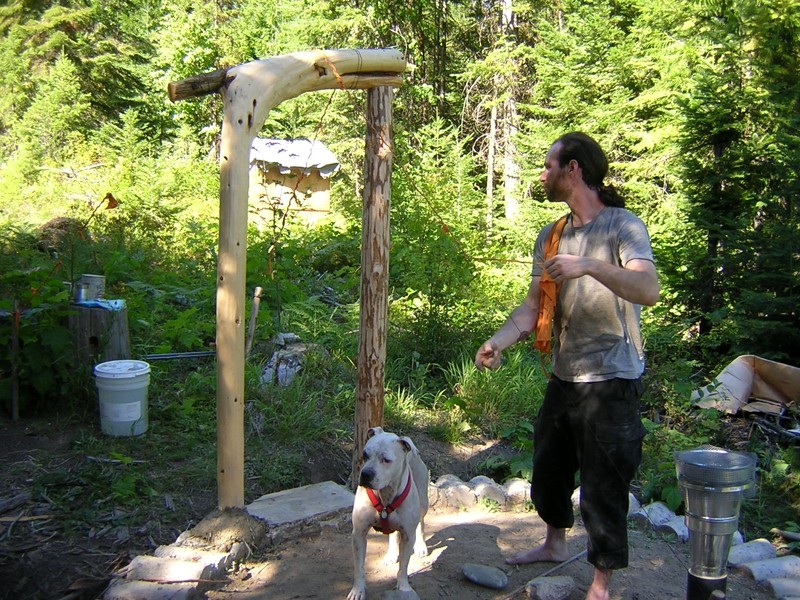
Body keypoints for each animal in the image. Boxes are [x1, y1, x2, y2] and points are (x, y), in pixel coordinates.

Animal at [348, 427, 429, 600]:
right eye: (365, 455)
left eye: (386, 460)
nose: (365, 474)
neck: (385, 495)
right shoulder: (359, 533)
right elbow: (359, 567)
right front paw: (358, 590)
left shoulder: (408, 535)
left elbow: (404, 566)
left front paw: (404, 588)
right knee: (393, 534)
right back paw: (391, 555)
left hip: (423, 504)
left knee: (421, 523)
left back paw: (421, 546)